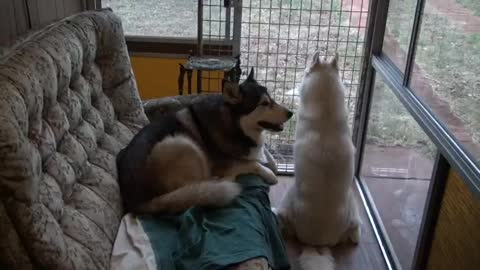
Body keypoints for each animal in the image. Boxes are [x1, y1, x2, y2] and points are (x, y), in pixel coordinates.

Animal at [116, 68, 292, 215]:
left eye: (271, 99)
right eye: (264, 103)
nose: (291, 113)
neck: (235, 127)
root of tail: (137, 202)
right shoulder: (221, 164)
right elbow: (253, 163)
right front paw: (269, 174)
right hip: (181, 143)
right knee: (199, 186)